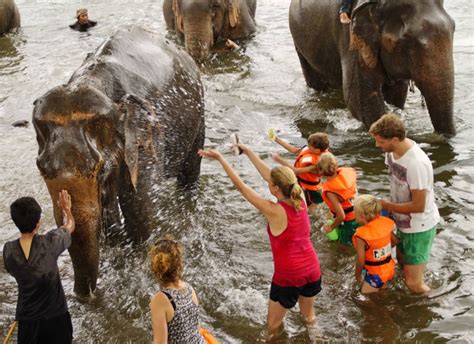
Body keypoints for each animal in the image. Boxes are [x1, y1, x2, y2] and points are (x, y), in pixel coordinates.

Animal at [31, 26, 206, 296]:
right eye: (41, 168)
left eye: (99, 170)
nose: (83, 296)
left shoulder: (145, 141)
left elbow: (139, 208)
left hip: (198, 115)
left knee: (189, 172)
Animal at [288, 0, 456, 137]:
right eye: (407, 40)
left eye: (453, 29)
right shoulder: (352, 40)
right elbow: (362, 100)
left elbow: (397, 94)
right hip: (300, 45)